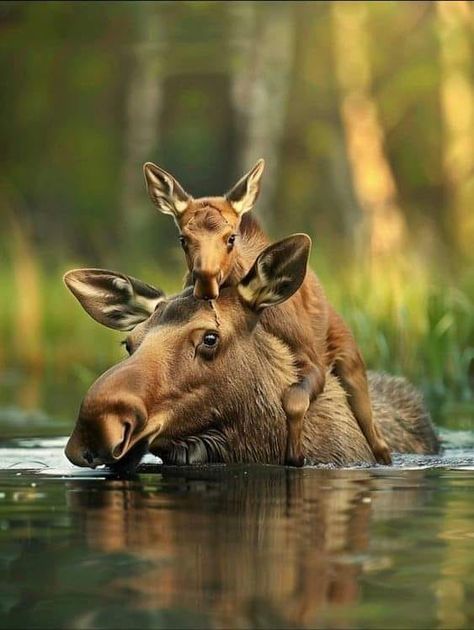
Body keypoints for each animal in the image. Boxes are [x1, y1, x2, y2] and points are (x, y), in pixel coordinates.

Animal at [143, 159, 390, 470]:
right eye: (183, 239)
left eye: (230, 238)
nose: (205, 281)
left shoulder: (312, 360)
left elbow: (294, 400)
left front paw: (295, 453)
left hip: (351, 365)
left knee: (377, 437)